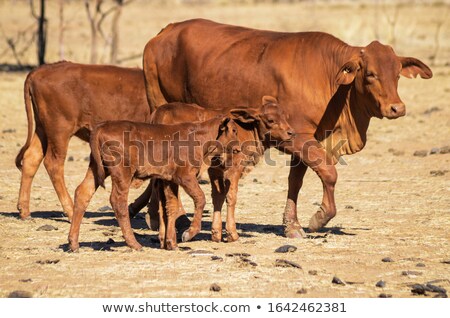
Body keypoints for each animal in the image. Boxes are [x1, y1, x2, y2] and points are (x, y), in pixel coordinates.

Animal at [14, 62, 150, 221]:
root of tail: (40, 70)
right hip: (59, 131)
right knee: (53, 164)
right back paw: (70, 211)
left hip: (42, 129)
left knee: (31, 157)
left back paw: (24, 210)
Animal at [67, 114, 241, 251]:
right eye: (233, 130)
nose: (239, 148)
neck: (198, 137)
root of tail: (101, 126)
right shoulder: (185, 177)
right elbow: (200, 198)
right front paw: (188, 233)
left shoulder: (169, 180)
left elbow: (171, 206)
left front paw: (171, 243)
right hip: (122, 173)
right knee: (118, 201)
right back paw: (134, 244)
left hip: (96, 169)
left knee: (83, 192)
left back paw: (73, 243)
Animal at [144, 19, 432, 238]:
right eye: (370, 74)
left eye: (397, 73)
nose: (397, 108)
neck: (329, 80)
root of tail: (166, 31)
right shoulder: (298, 137)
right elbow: (329, 173)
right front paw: (319, 218)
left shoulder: (308, 140)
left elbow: (296, 181)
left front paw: (292, 225)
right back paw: (170, 218)